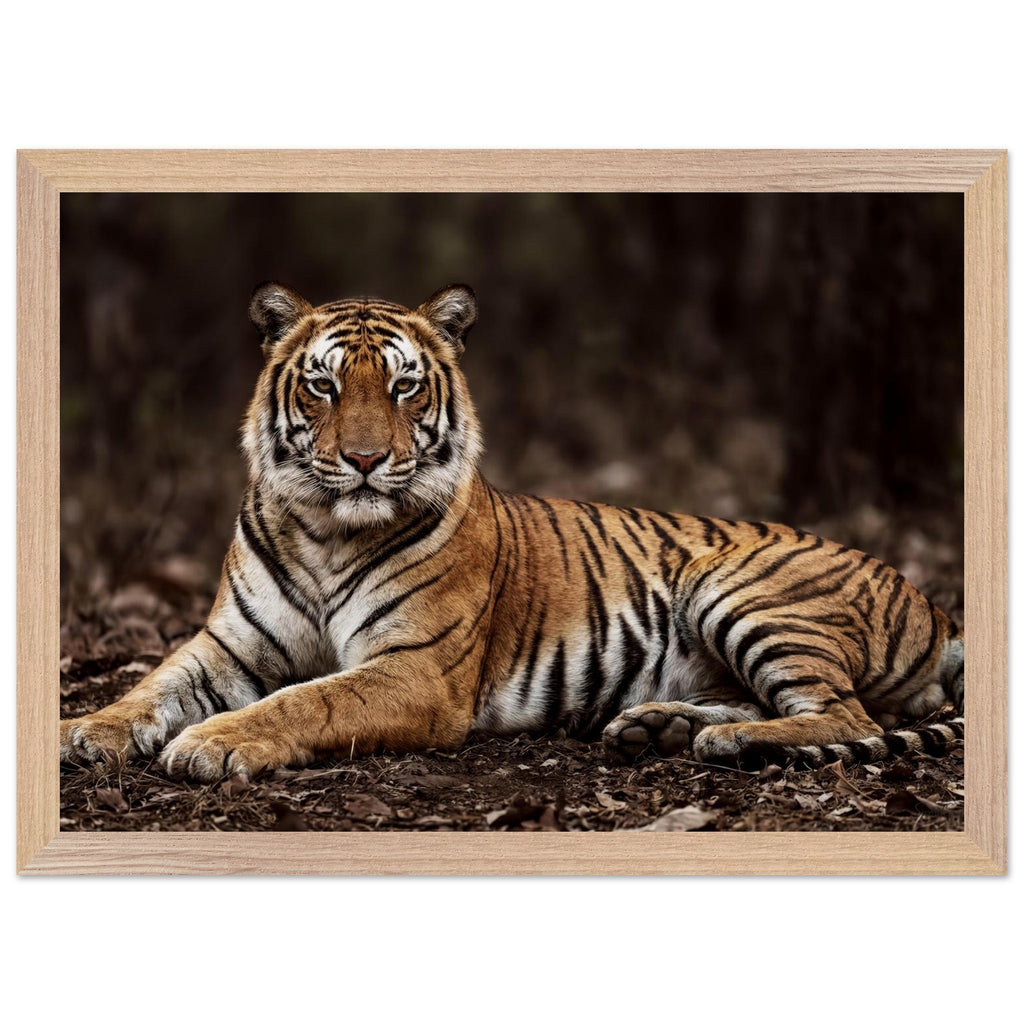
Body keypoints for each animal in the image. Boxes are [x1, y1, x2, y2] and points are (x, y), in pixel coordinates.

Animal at [60, 283, 965, 782]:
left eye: (404, 387)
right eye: (323, 386)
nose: (364, 460)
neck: (324, 530)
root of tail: (934, 602)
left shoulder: (414, 669)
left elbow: (305, 700)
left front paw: (213, 743)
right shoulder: (229, 645)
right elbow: (150, 687)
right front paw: (81, 733)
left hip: (738, 585)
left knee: (850, 720)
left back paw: (730, 744)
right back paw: (662, 727)